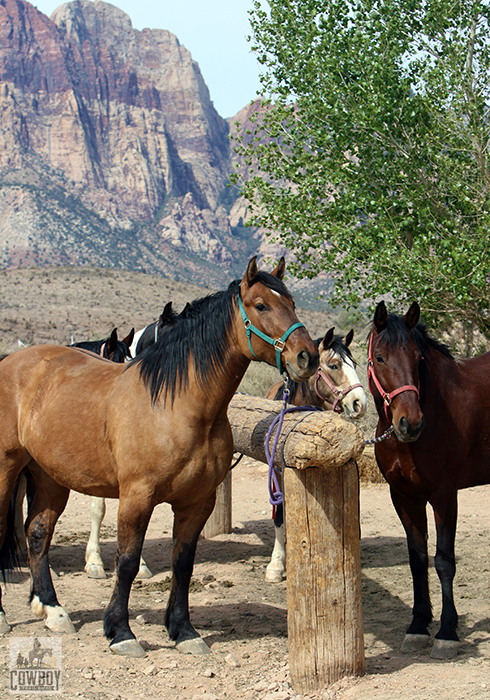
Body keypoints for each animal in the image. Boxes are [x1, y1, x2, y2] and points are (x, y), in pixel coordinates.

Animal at [0, 258, 318, 656]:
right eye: (261, 305)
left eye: (291, 302)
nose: (308, 356)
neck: (177, 405)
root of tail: (13, 361)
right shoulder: (136, 498)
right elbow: (127, 563)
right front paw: (120, 632)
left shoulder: (197, 502)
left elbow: (183, 564)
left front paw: (183, 630)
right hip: (6, 471)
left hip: (49, 477)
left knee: (38, 535)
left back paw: (54, 611)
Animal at [262, 330, 366, 584]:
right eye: (334, 365)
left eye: (354, 363)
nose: (360, 403)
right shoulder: (276, 470)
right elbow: (279, 514)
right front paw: (276, 564)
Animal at [368, 300, 490, 656]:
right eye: (380, 357)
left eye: (417, 358)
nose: (410, 423)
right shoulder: (404, 496)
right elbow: (418, 559)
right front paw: (418, 625)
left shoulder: (444, 495)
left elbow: (444, 561)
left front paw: (448, 631)